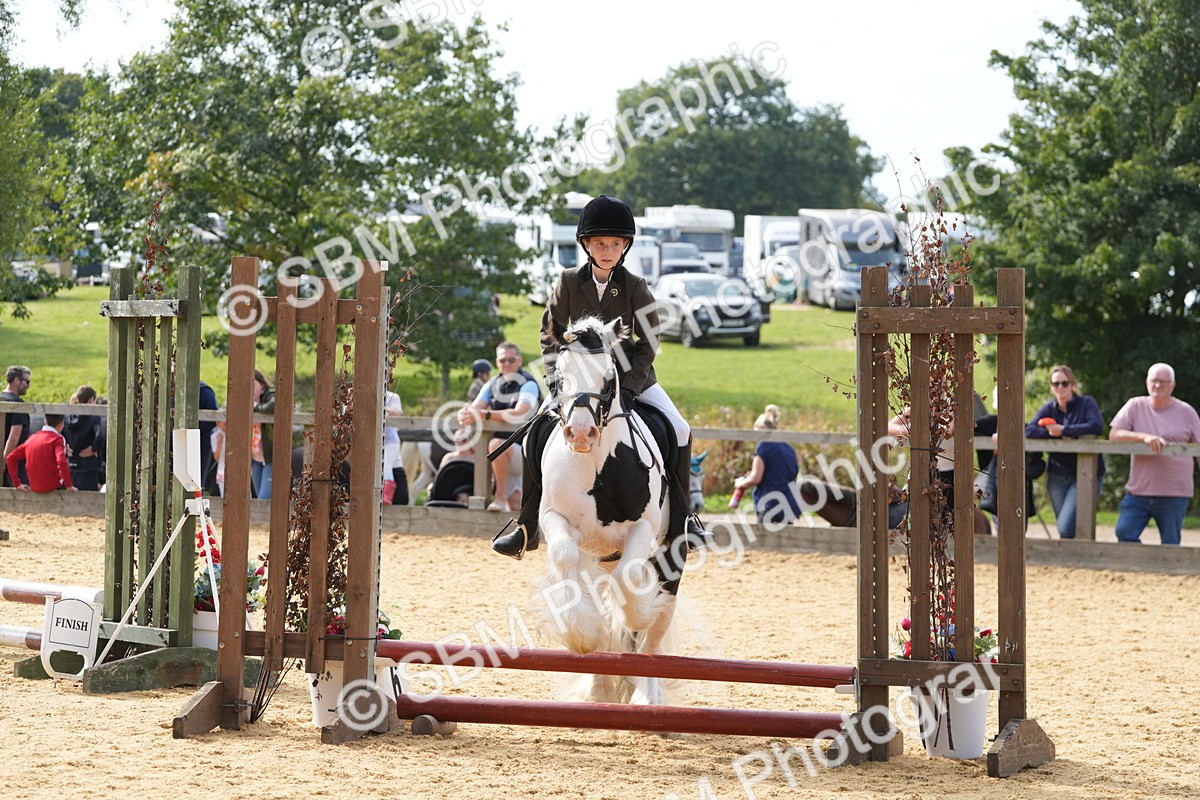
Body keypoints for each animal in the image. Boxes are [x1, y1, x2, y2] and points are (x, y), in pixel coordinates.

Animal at [535, 316, 676, 706]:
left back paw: (647, 696)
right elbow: (564, 554)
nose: (581, 434)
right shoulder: (555, 520)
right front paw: (581, 635)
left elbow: (630, 583)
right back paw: (599, 691)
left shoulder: (643, 526)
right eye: (558, 376)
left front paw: (638, 613)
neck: (596, 464)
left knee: (654, 639)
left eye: (609, 377)